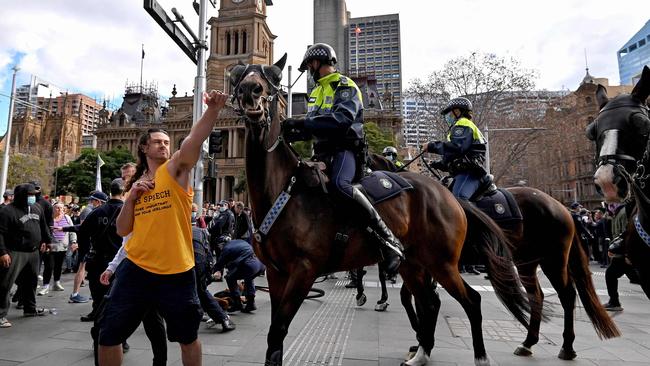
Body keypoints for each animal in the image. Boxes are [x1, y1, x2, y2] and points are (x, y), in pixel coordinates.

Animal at [230, 54, 528, 366]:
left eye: (274, 78)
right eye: (237, 76)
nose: (251, 91)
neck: (285, 189)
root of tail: (451, 197)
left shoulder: (304, 270)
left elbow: (278, 330)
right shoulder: (276, 274)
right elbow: (273, 337)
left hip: (443, 262)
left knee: (471, 300)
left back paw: (480, 356)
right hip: (414, 264)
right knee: (429, 302)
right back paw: (421, 353)